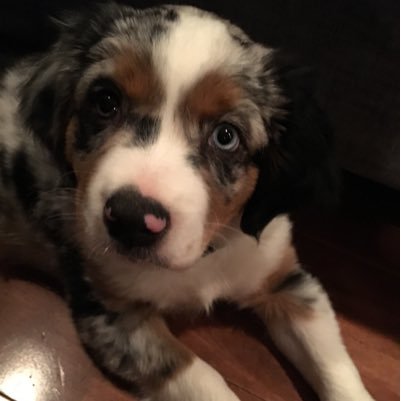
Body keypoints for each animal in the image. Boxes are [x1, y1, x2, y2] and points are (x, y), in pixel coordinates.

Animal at [0, 3, 376, 400]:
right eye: (106, 102)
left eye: (226, 136)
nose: (131, 219)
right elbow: (206, 380)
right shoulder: (113, 313)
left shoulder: (286, 279)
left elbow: (334, 364)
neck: (204, 256)